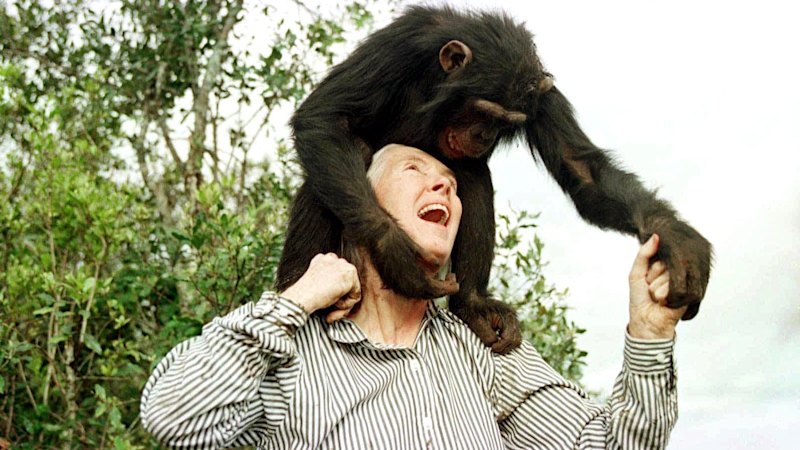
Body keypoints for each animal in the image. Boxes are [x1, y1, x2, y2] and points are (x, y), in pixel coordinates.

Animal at [275, 6, 712, 354]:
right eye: (483, 111)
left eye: (505, 122)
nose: (483, 135)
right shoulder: (399, 44)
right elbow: (326, 116)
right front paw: (396, 256)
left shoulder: (542, 97)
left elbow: (581, 168)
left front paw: (676, 239)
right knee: (332, 172)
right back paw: (296, 286)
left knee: (473, 175)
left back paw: (473, 303)